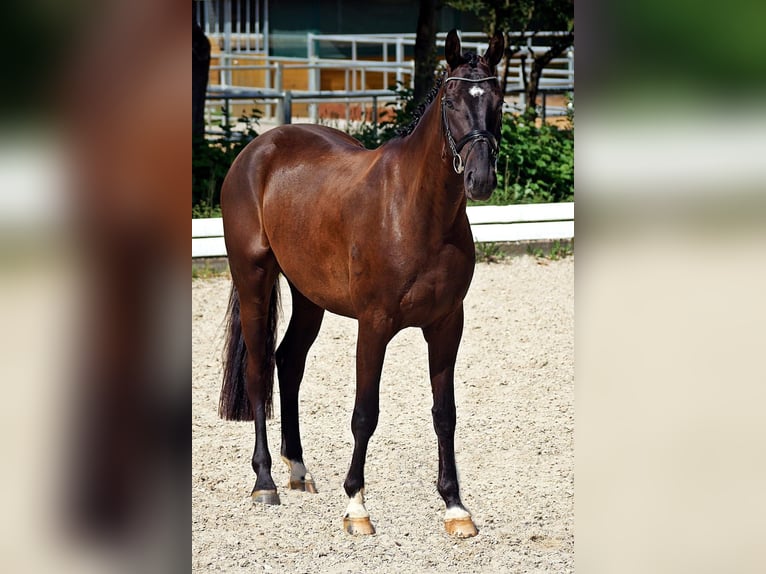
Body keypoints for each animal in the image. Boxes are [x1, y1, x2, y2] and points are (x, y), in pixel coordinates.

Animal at [219, 28, 508, 540]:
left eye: (497, 100)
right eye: (451, 101)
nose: (480, 179)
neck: (417, 210)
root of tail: (257, 150)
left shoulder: (446, 326)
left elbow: (445, 414)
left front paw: (455, 507)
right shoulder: (373, 325)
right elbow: (364, 414)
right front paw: (356, 505)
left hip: (309, 297)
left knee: (288, 362)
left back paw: (298, 470)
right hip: (253, 278)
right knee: (258, 370)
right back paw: (265, 481)